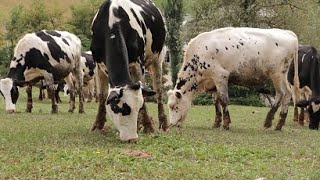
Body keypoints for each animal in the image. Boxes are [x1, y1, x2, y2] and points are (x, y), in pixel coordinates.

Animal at [90, 0, 169, 142]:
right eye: (119, 108)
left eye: (138, 107)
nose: (132, 138)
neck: (112, 22)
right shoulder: (98, 65)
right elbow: (102, 96)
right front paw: (98, 125)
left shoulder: (138, 65)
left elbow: (143, 96)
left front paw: (148, 126)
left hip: (158, 58)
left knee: (159, 91)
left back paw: (162, 124)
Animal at [166, 26, 298, 130]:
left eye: (174, 106)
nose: (171, 124)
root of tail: (288, 33)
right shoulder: (213, 82)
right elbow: (216, 101)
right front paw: (216, 123)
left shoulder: (220, 76)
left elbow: (224, 99)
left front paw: (226, 124)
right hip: (283, 74)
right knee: (288, 93)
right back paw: (279, 124)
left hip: (276, 74)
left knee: (281, 93)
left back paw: (268, 121)